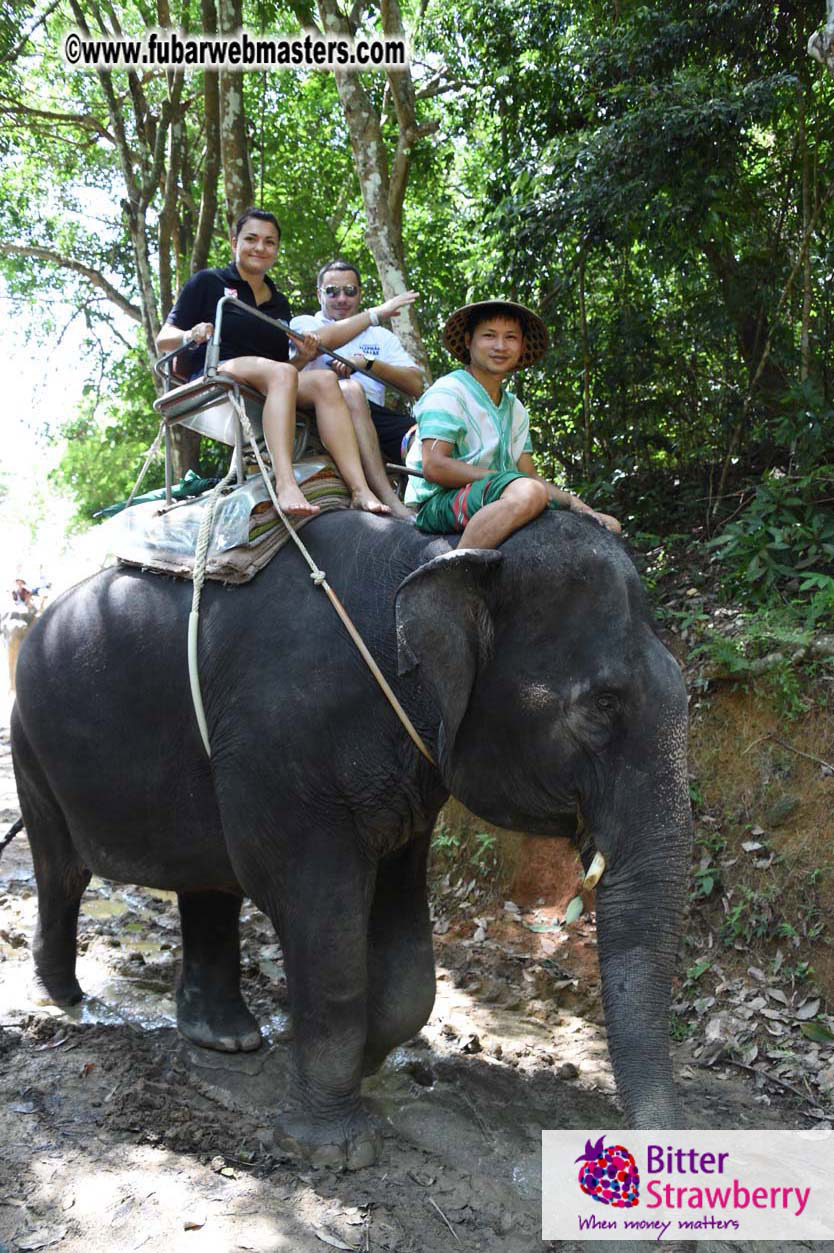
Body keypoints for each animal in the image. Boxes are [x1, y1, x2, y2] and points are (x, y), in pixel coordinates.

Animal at [10, 508, 692, 1169]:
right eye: (604, 705)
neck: (435, 551)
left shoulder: (406, 778)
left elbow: (409, 957)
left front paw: (360, 1063)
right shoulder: (282, 748)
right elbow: (313, 917)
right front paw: (333, 1150)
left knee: (207, 883)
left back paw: (224, 1038)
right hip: (30, 748)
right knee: (63, 871)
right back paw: (64, 999)